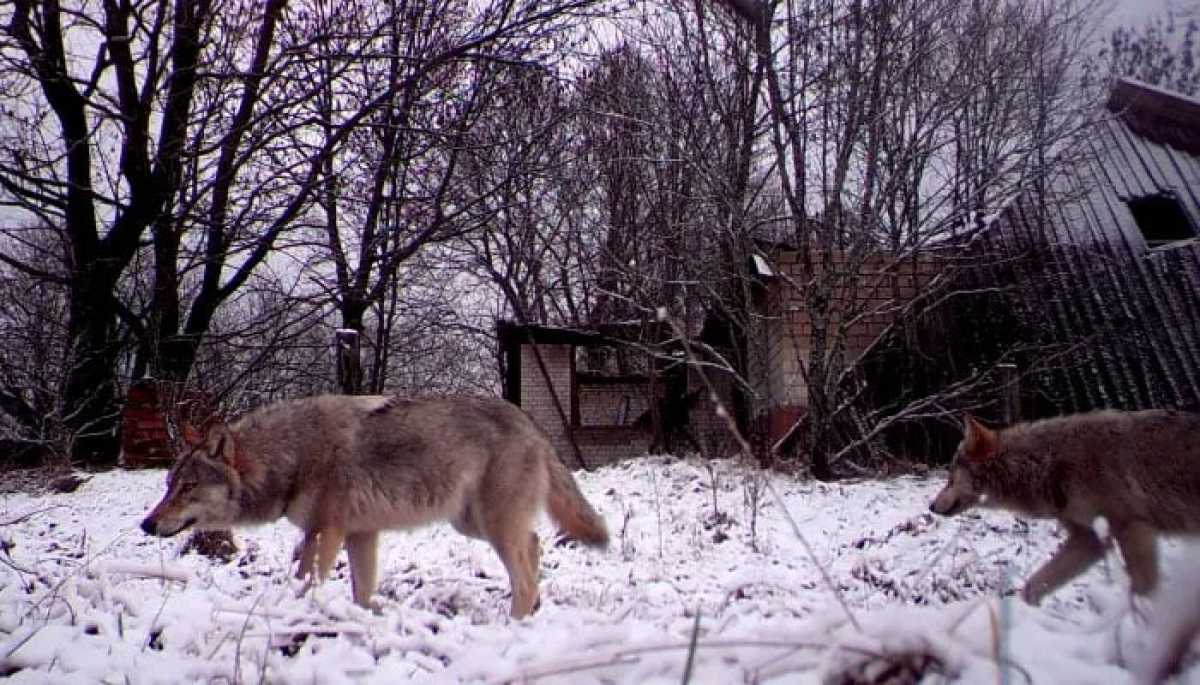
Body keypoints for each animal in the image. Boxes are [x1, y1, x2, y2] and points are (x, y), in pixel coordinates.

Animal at [140, 393, 609, 619]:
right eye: (168, 485)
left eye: (188, 487)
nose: (147, 524)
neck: (292, 455)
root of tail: (531, 423)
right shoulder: (360, 534)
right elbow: (362, 591)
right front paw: (361, 619)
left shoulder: (325, 532)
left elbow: (308, 581)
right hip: (472, 524)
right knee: (535, 545)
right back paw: (535, 610)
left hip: (490, 526)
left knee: (525, 569)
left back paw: (514, 624)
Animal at [931, 410, 1200, 602]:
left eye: (950, 478)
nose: (931, 506)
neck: (1047, 463)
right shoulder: (1088, 541)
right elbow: (1032, 587)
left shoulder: (1132, 528)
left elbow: (1142, 591)